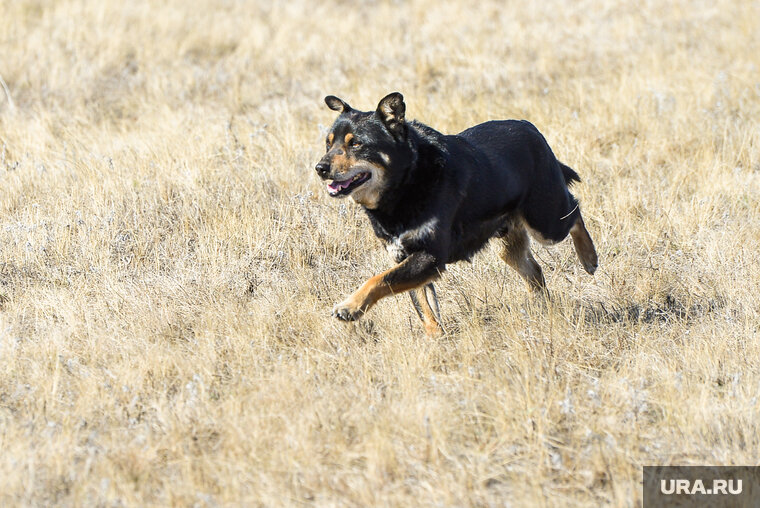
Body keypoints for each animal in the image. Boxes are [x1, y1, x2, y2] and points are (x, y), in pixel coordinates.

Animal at [312, 93, 596, 336]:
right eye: (328, 144)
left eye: (356, 144)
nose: (320, 168)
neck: (406, 182)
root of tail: (532, 129)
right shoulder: (405, 256)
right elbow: (423, 307)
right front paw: (436, 340)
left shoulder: (430, 256)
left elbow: (379, 279)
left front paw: (350, 307)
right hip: (509, 240)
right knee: (534, 270)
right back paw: (541, 308)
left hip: (545, 221)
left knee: (574, 212)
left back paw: (589, 258)